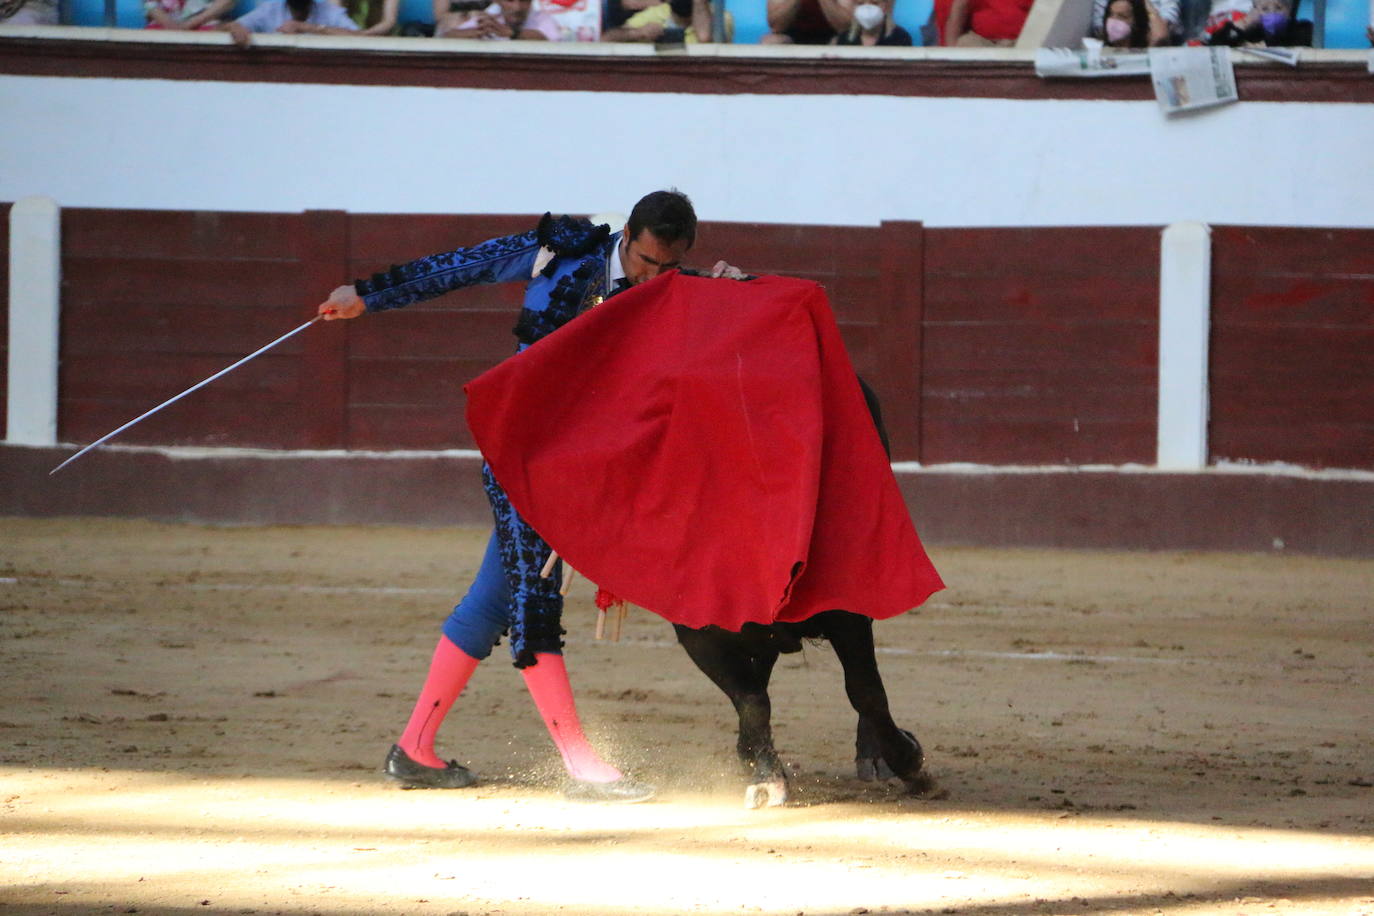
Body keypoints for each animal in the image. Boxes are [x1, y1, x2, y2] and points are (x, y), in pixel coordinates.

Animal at [667, 379, 934, 807]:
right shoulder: (697, 633)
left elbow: (865, 690)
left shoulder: (847, 612)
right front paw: (765, 777)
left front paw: (909, 761)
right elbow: (752, 700)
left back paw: (874, 758)